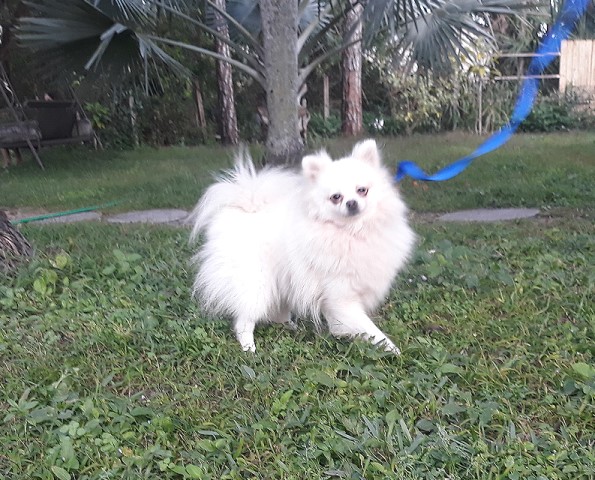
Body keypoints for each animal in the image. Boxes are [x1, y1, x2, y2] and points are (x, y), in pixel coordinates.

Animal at [190, 139, 414, 352]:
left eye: (362, 190)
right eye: (336, 197)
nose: (351, 203)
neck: (351, 232)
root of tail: (243, 207)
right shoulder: (341, 297)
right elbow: (370, 329)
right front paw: (392, 349)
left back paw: (289, 326)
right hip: (257, 284)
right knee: (244, 319)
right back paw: (248, 347)